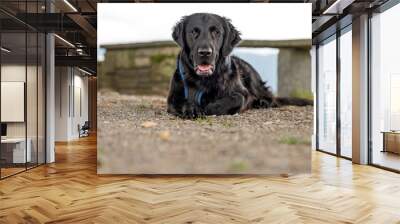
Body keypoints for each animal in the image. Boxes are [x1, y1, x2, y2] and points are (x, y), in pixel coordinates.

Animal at [167, 12, 310, 118]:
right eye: (193, 32)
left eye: (217, 32)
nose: (205, 52)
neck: (204, 79)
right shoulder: (173, 96)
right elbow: (180, 102)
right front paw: (192, 109)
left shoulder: (243, 93)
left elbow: (237, 98)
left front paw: (211, 107)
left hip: (250, 75)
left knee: (269, 97)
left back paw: (262, 102)